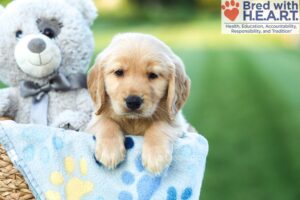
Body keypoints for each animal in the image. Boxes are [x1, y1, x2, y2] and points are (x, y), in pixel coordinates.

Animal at [85, 32, 191, 174]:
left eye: (153, 75)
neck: (134, 121)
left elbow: (160, 124)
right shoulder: (94, 121)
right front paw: (109, 150)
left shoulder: (178, 124)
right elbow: (106, 121)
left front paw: (156, 155)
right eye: (119, 72)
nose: (133, 101)